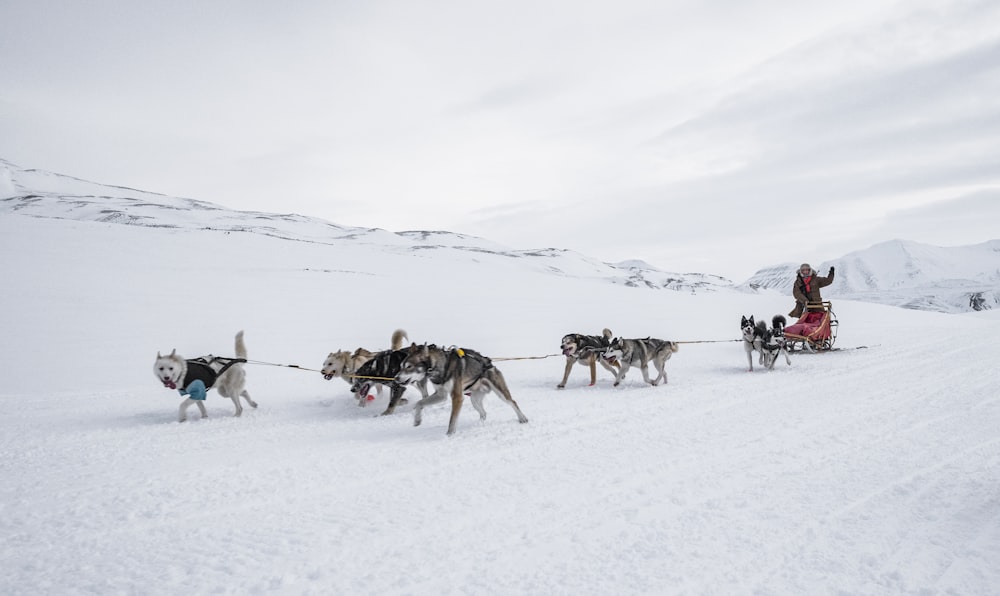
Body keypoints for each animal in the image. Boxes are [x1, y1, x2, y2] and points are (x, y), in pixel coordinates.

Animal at [396, 342, 532, 436]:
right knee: (483, 413)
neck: (441, 365)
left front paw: (449, 435)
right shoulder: (441, 395)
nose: (396, 378)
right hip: (474, 400)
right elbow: (419, 403)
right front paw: (417, 419)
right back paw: (479, 424)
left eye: (409, 366)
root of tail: (490, 363)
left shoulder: (457, 397)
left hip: (500, 392)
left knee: (512, 402)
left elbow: (452, 420)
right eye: (401, 366)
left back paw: (523, 418)